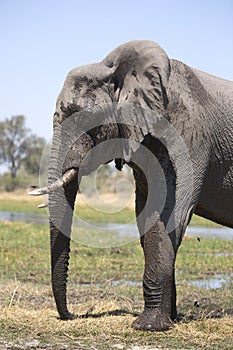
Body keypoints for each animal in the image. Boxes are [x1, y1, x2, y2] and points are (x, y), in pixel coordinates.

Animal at [29, 41, 233, 330]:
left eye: (83, 119)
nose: (72, 314)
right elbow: (146, 216)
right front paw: (167, 320)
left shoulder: (187, 135)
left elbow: (171, 214)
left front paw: (147, 327)